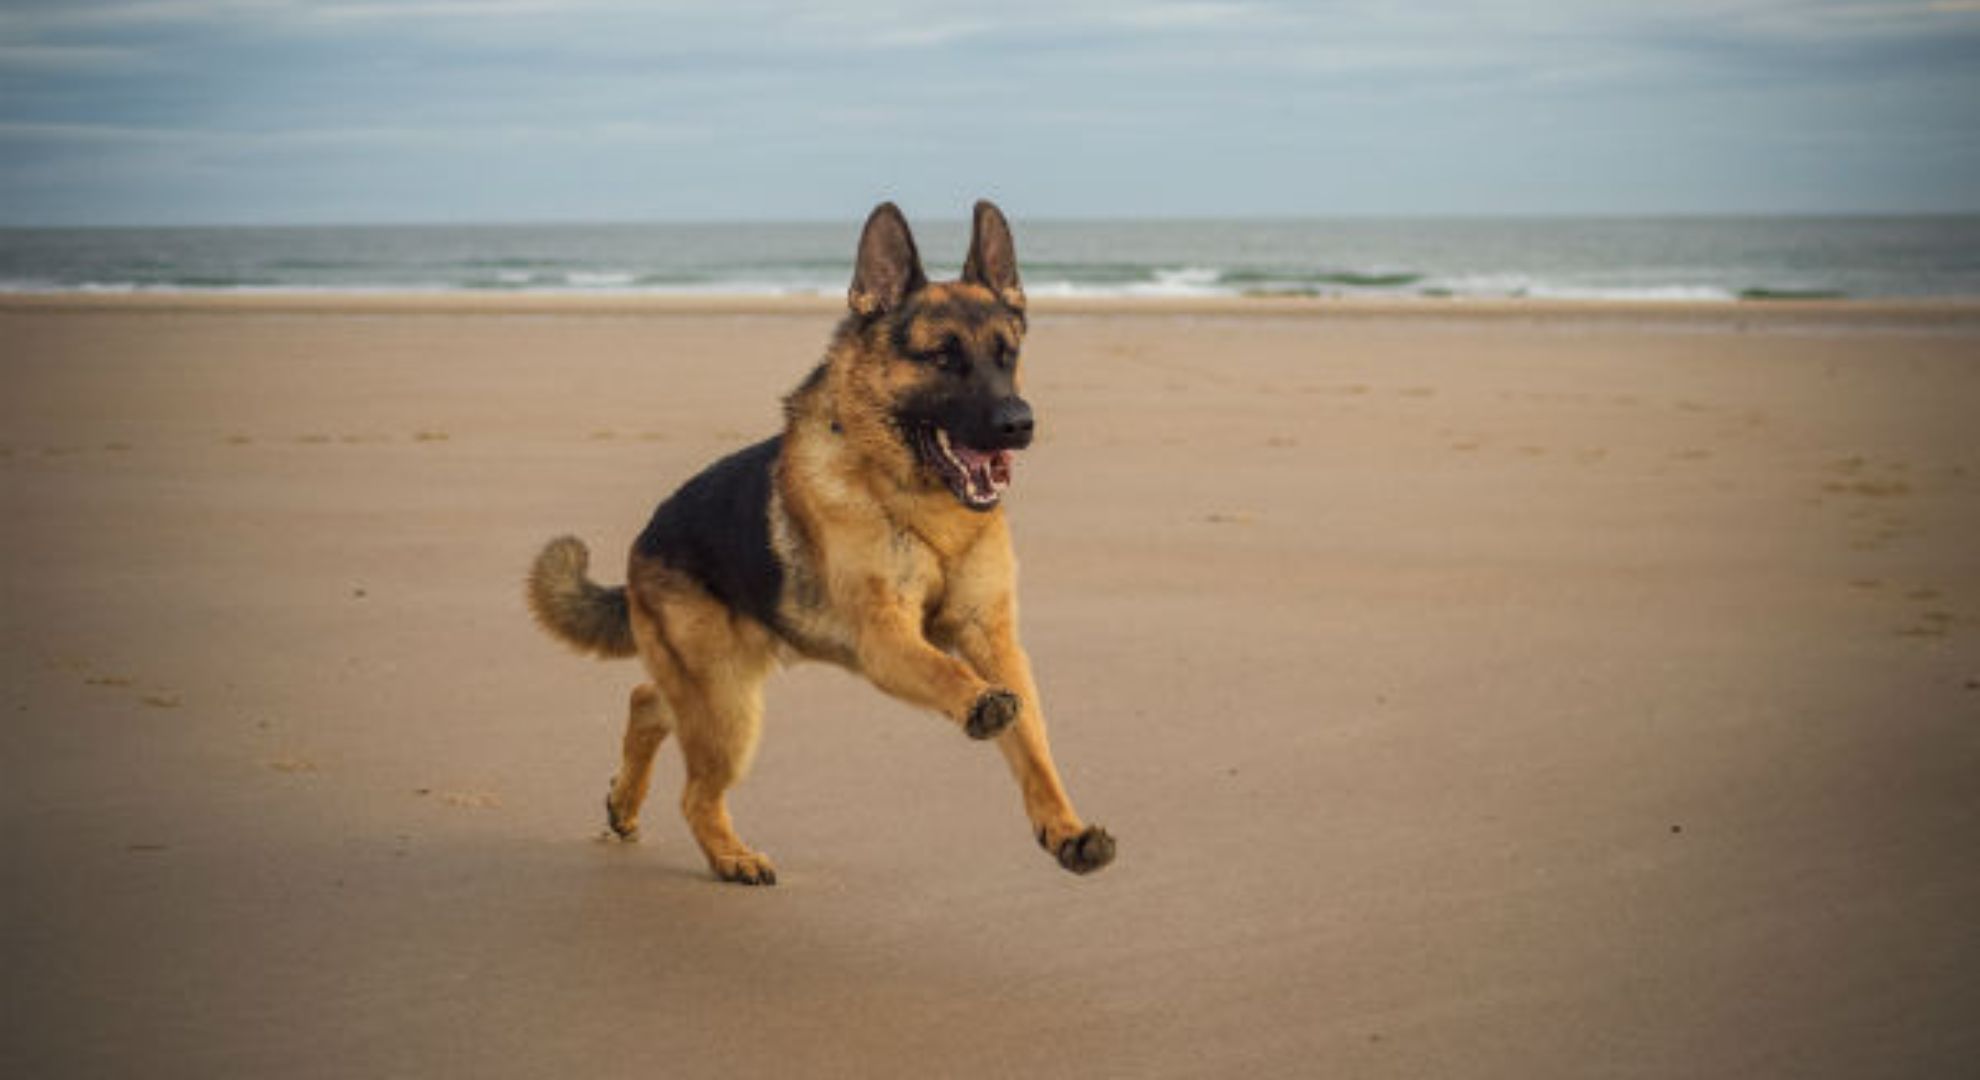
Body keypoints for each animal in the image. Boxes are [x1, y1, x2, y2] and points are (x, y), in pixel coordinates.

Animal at [526, 202, 1116, 883]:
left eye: (1007, 354)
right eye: (943, 357)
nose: (1020, 424)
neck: (919, 504)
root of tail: (644, 544)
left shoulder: (992, 638)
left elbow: (1033, 749)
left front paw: (1065, 828)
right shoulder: (886, 639)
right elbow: (945, 670)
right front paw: (975, 701)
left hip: (723, 684)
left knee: (647, 700)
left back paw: (626, 804)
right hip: (727, 704)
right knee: (693, 788)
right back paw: (730, 857)